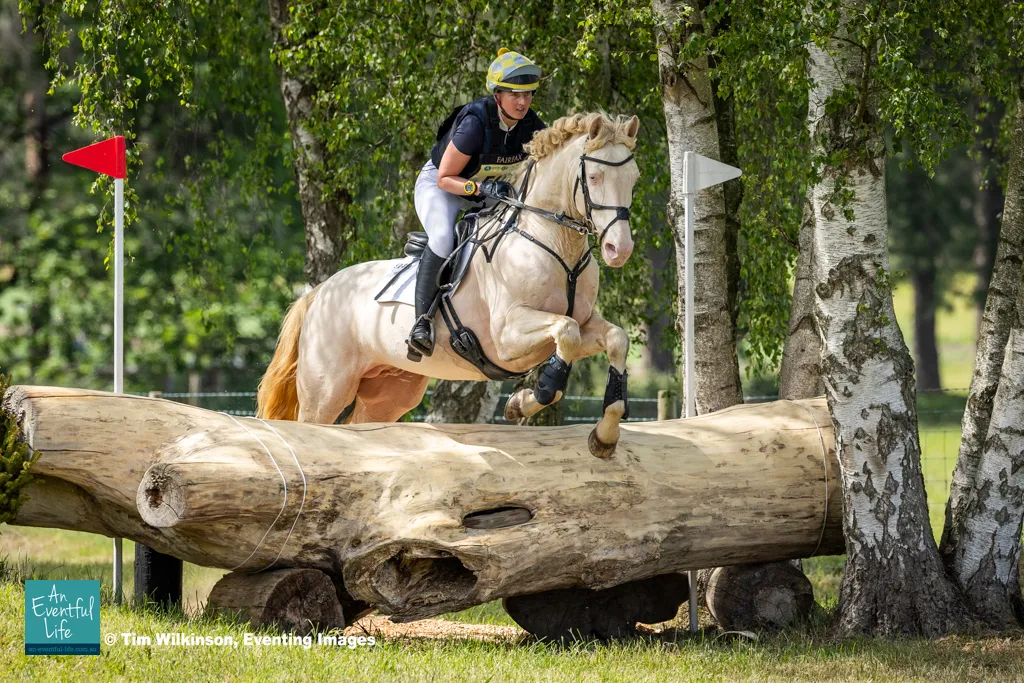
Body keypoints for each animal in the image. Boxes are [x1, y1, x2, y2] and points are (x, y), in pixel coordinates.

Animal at [255, 112, 641, 457]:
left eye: (634, 179)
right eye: (594, 176)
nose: (619, 249)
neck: (553, 242)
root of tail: (319, 292)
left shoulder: (586, 322)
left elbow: (615, 339)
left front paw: (604, 437)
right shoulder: (507, 335)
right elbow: (567, 334)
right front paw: (525, 400)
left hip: (391, 390)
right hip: (326, 389)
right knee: (311, 426)